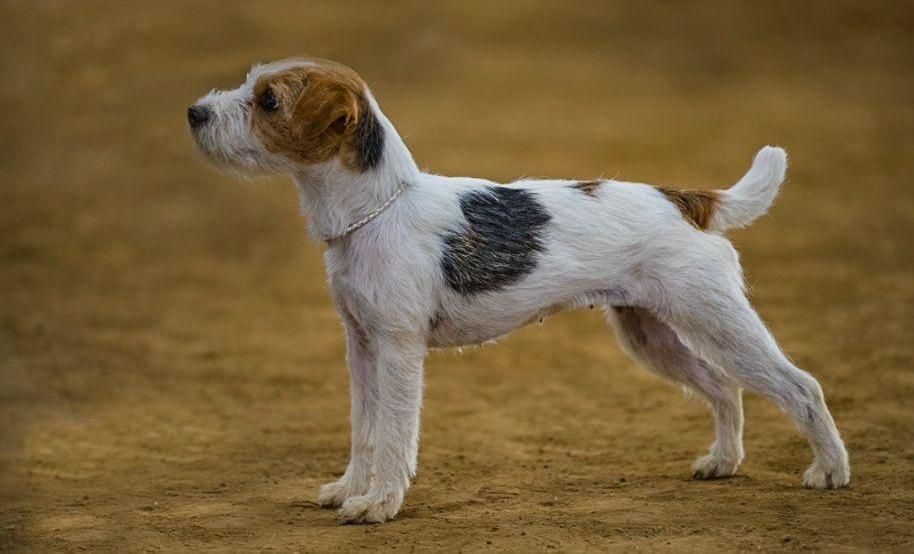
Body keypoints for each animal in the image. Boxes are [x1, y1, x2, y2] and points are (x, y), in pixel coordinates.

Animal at [189, 58, 852, 524]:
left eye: (268, 100)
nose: (195, 113)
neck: (377, 210)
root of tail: (689, 201)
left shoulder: (398, 351)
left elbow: (395, 435)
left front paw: (378, 504)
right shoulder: (361, 346)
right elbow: (364, 430)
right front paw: (350, 490)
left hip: (719, 321)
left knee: (801, 387)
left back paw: (830, 471)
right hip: (652, 335)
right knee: (723, 389)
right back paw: (723, 462)